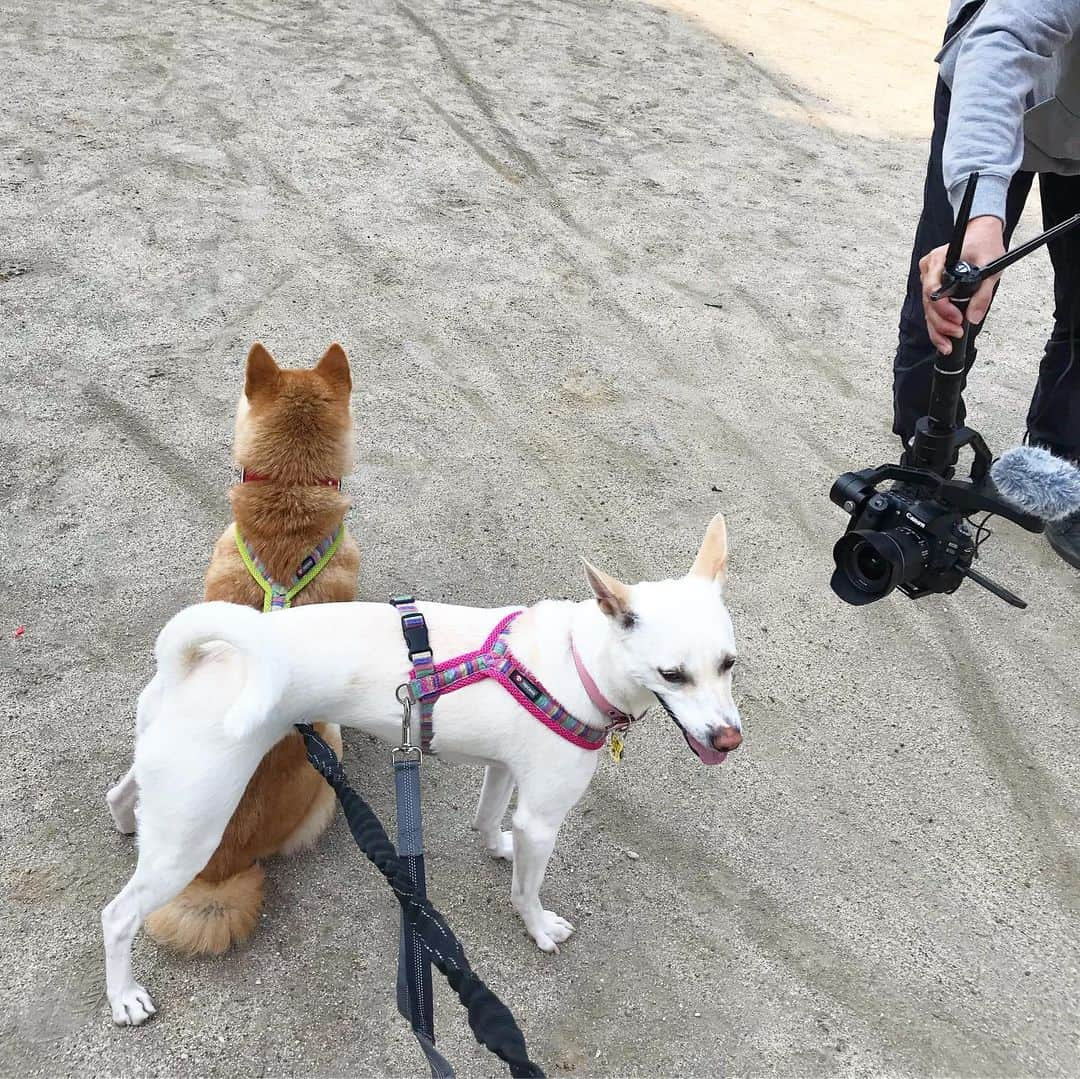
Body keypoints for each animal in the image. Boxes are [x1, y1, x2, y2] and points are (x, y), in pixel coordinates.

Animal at [103, 511, 743, 1019]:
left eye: (729, 663)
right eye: (671, 675)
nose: (729, 739)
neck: (576, 661)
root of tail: (197, 661)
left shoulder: (503, 770)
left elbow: (488, 821)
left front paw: (498, 847)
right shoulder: (543, 819)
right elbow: (528, 889)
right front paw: (538, 928)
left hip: (169, 784)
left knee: (122, 795)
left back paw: (128, 824)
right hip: (193, 835)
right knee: (118, 916)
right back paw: (124, 996)